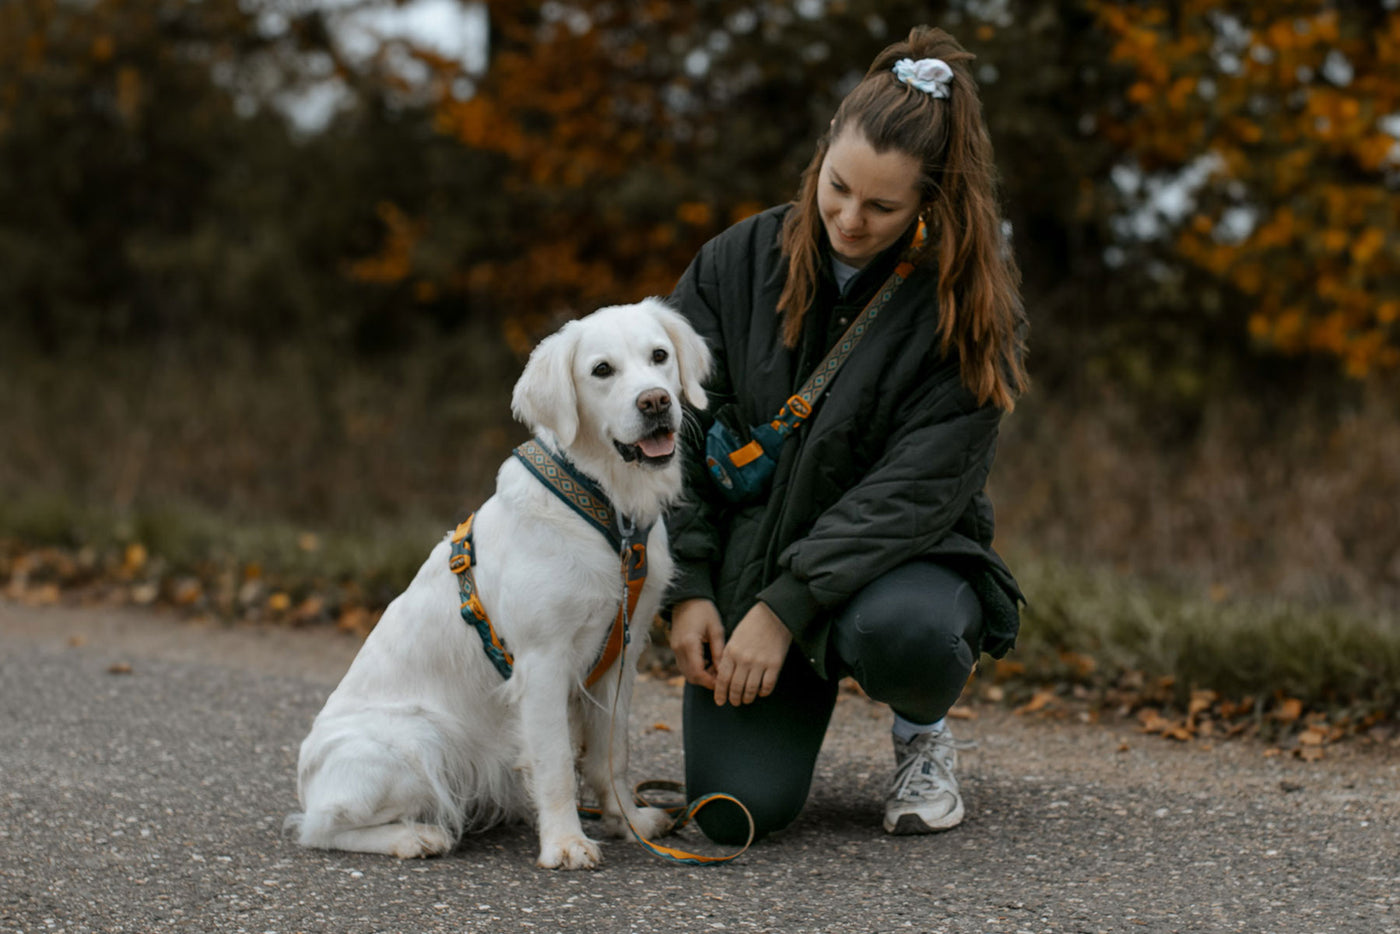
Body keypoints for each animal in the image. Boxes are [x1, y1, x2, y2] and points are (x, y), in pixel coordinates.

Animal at [292, 298, 711, 868]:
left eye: (660, 356)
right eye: (602, 370)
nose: (656, 401)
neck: (608, 509)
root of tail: (306, 778)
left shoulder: (623, 652)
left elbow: (613, 754)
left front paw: (631, 822)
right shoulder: (542, 661)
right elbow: (557, 762)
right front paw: (566, 843)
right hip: (421, 738)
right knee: (321, 826)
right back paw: (414, 837)